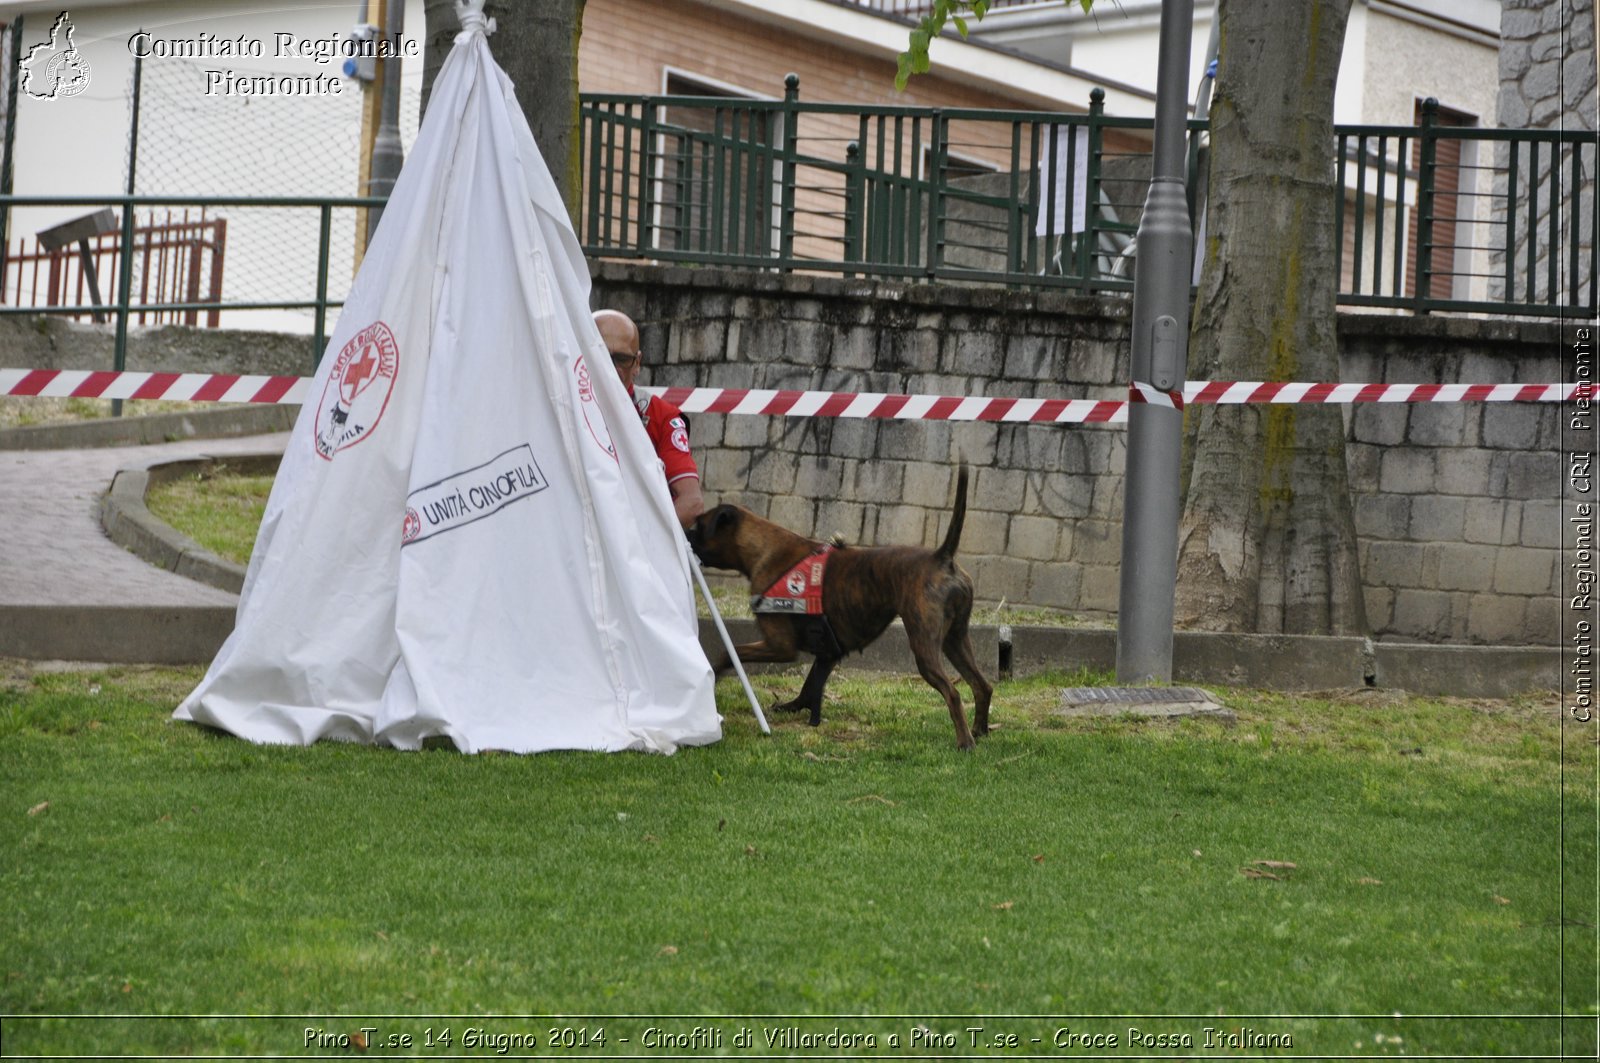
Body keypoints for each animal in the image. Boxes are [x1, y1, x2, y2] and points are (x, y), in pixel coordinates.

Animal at [684, 464, 985, 746]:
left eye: (699, 526)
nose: (685, 532)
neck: (763, 549)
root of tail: (941, 557)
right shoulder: (828, 652)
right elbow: (811, 684)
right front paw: (798, 707)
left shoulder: (779, 646)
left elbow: (729, 652)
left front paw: (713, 677)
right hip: (955, 641)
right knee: (982, 685)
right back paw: (980, 731)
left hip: (925, 646)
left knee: (953, 693)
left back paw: (965, 742)